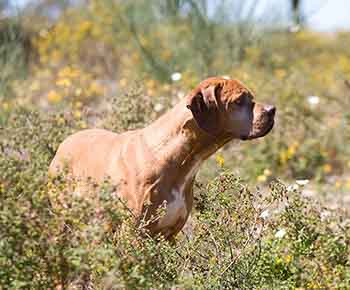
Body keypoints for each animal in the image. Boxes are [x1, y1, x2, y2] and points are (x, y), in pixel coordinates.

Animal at [48, 76, 276, 239]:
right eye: (239, 101)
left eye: (252, 99)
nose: (272, 110)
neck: (174, 157)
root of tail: (63, 143)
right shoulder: (132, 233)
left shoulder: (169, 235)